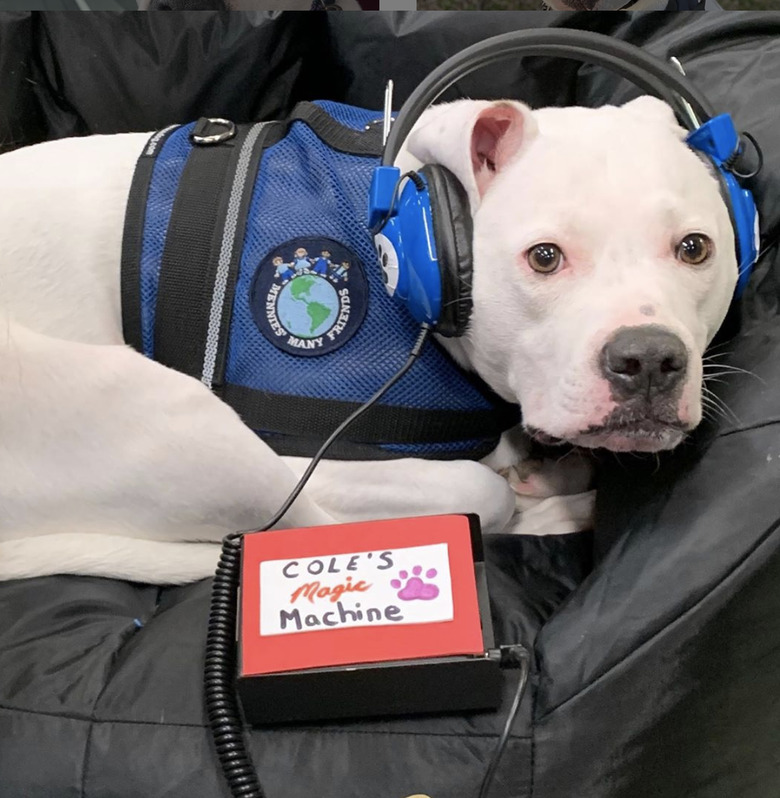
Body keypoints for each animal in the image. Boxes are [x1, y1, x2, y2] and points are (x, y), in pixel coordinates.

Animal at [0, 97, 736, 584]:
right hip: (181, 425)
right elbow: (479, 490)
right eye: (545, 257)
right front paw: (527, 488)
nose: (649, 358)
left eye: (695, 248)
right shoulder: (323, 459)